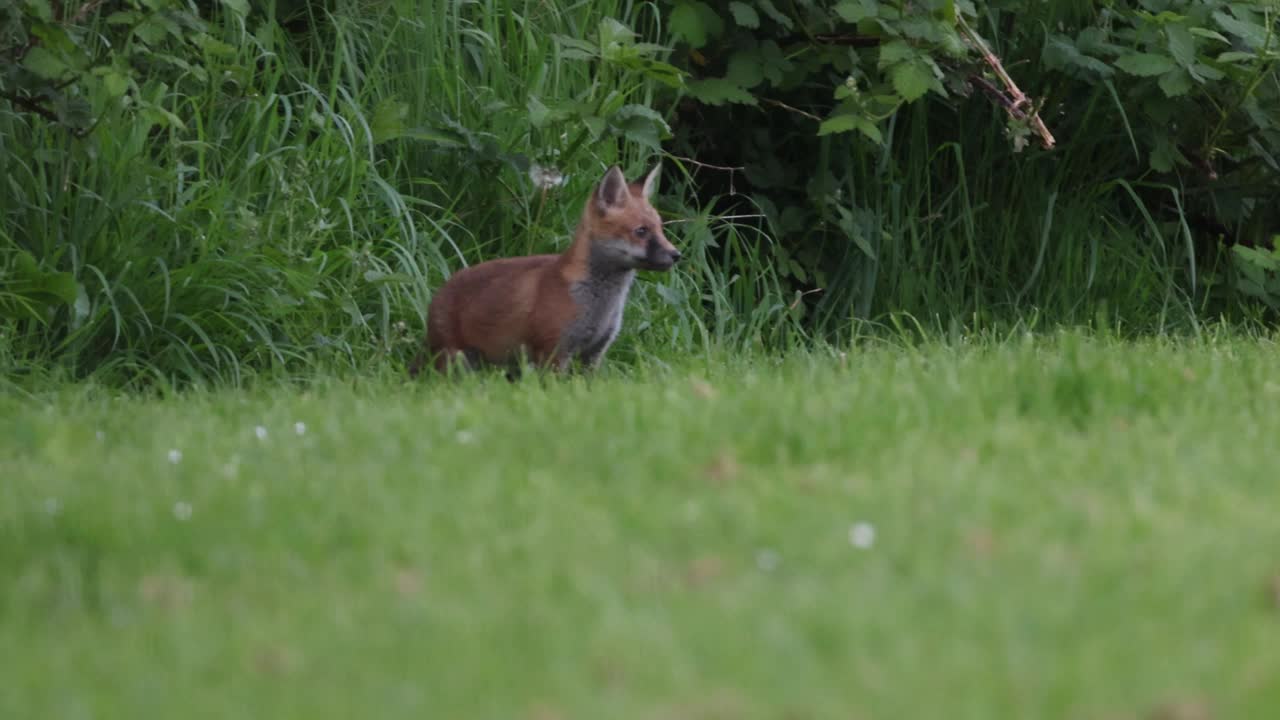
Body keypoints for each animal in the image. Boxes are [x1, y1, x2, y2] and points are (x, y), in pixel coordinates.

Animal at [412, 161, 686, 376]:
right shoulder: (554, 351)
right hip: (457, 361)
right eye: (641, 231)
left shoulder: (594, 353)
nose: (676, 255)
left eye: (660, 228)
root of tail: (438, 294)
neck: (600, 305)